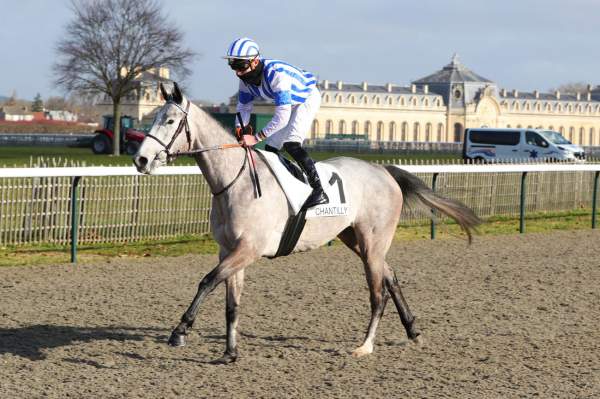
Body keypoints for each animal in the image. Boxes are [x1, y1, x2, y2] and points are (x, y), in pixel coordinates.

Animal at [134, 83, 480, 364]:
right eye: (152, 118)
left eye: (169, 121)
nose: (141, 159)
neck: (236, 181)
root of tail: (383, 170)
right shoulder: (229, 251)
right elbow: (231, 303)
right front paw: (230, 353)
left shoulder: (249, 249)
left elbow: (206, 281)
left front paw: (180, 331)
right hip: (355, 238)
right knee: (390, 276)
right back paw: (413, 331)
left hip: (372, 242)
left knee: (377, 293)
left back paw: (365, 346)